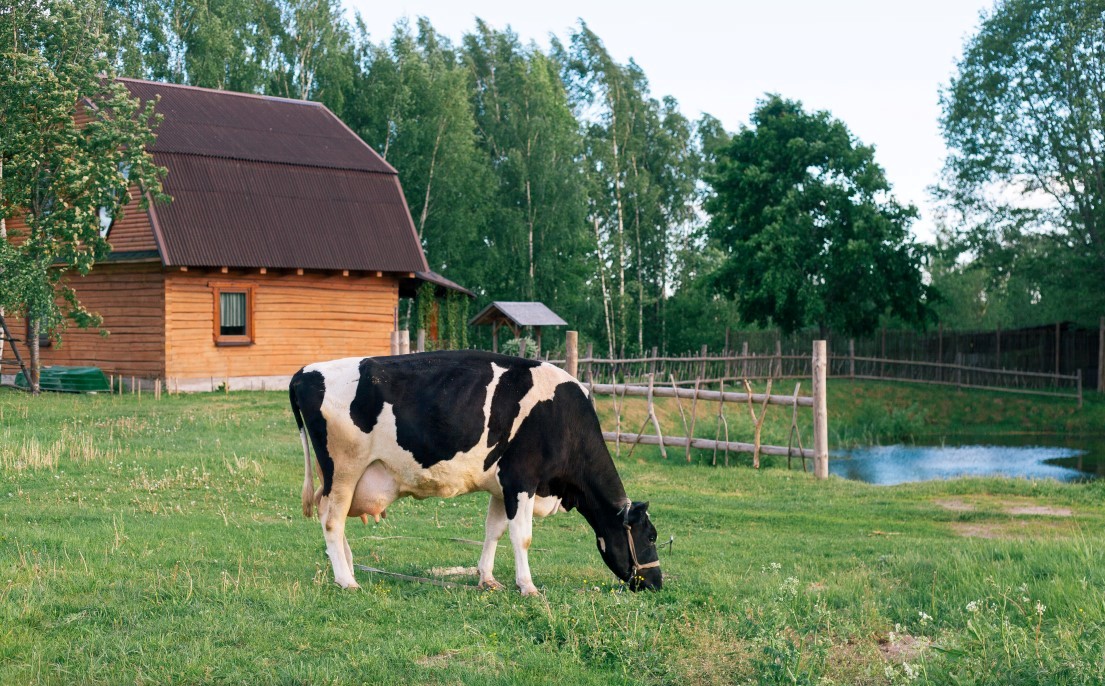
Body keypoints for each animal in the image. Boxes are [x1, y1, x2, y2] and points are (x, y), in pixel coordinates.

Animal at [289, 351, 658, 592]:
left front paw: (488, 578)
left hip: (336, 476)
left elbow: (494, 530)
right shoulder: (521, 480)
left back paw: (348, 567)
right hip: (344, 469)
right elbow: (521, 536)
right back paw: (346, 580)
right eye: (651, 537)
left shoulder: (501, 485)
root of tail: (306, 371)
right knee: (333, 521)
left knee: (329, 516)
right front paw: (527, 586)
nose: (657, 583)